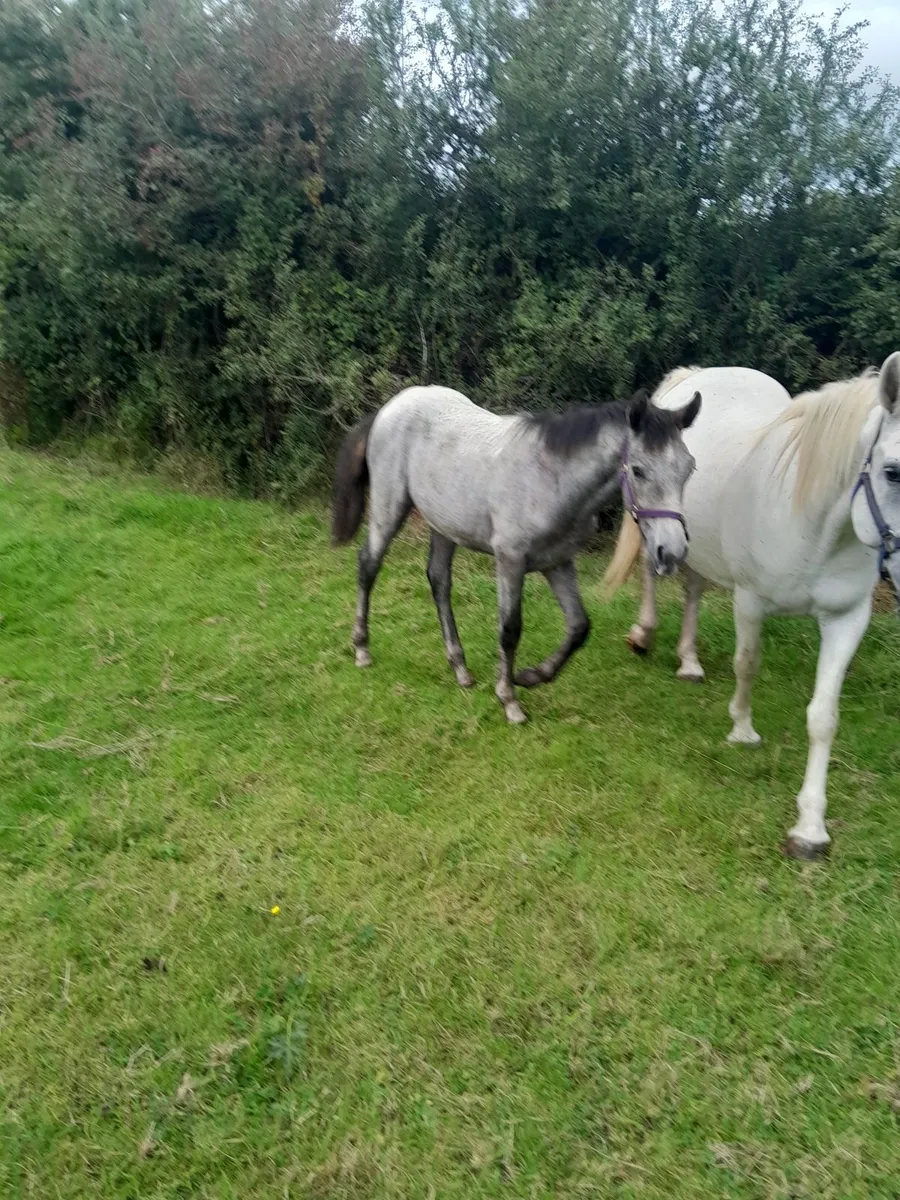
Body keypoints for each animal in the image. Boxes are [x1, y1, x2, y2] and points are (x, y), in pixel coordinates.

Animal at [332, 383, 701, 723]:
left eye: (689, 469)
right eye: (638, 470)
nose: (672, 552)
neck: (552, 479)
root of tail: (392, 405)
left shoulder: (558, 562)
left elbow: (579, 626)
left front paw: (532, 676)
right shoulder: (509, 560)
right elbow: (510, 629)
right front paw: (509, 699)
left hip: (444, 524)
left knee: (439, 580)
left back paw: (460, 668)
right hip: (389, 507)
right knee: (368, 566)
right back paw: (362, 648)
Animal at [604, 353, 900, 858]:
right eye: (893, 471)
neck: (816, 521)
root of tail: (697, 373)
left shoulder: (847, 619)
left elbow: (824, 717)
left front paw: (810, 828)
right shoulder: (750, 601)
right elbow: (746, 663)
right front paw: (742, 730)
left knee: (693, 588)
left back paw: (689, 661)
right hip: (657, 527)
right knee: (651, 569)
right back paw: (644, 635)